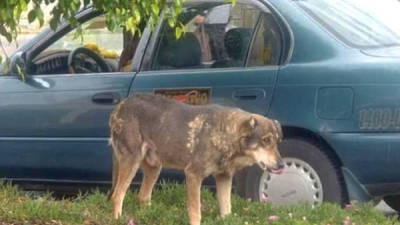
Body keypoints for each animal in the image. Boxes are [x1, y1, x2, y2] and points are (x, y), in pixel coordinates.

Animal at [109, 94, 284, 224]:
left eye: (277, 142)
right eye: (265, 140)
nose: (282, 164)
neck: (225, 134)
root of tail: (121, 105)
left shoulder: (224, 178)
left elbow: (226, 210)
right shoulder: (193, 175)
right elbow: (195, 212)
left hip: (154, 168)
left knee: (142, 197)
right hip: (131, 163)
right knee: (117, 196)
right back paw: (118, 219)